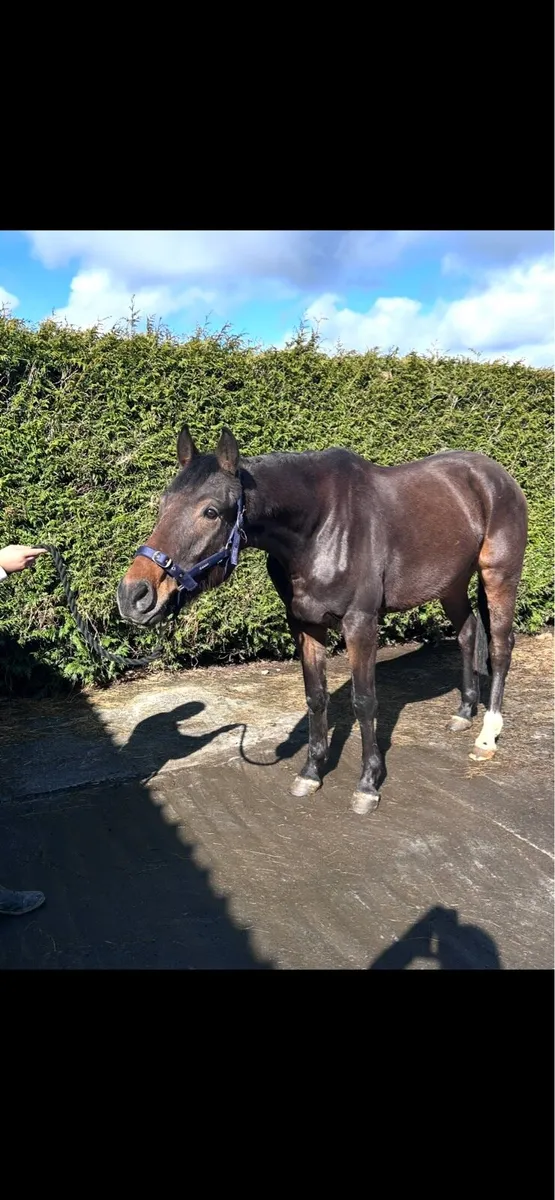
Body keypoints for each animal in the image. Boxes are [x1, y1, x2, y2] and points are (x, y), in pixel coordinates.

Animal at [117, 425, 528, 815]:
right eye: (163, 504)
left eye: (211, 512)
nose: (134, 595)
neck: (320, 528)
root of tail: (497, 476)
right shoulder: (305, 626)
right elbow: (315, 698)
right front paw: (311, 773)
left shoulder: (360, 625)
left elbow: (365, 701)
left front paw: (368, 784)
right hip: (451, 585)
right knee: (468, 633)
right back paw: (464, 713)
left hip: (499, 577)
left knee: (500, 647)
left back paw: (487, 736)